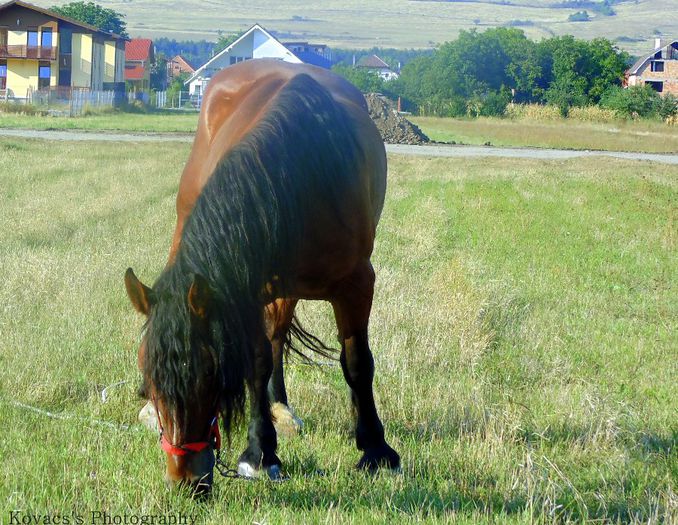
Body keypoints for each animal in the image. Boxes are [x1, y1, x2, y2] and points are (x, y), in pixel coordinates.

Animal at [125, 59, 402, 494]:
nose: (187, 480)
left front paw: (375, 450)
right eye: (146, 376)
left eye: (210, 373)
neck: (301, 174)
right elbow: (257, 363)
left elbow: (357, 362)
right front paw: (260, 452)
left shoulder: (357, 285)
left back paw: (287, 410)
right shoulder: (247, 290)